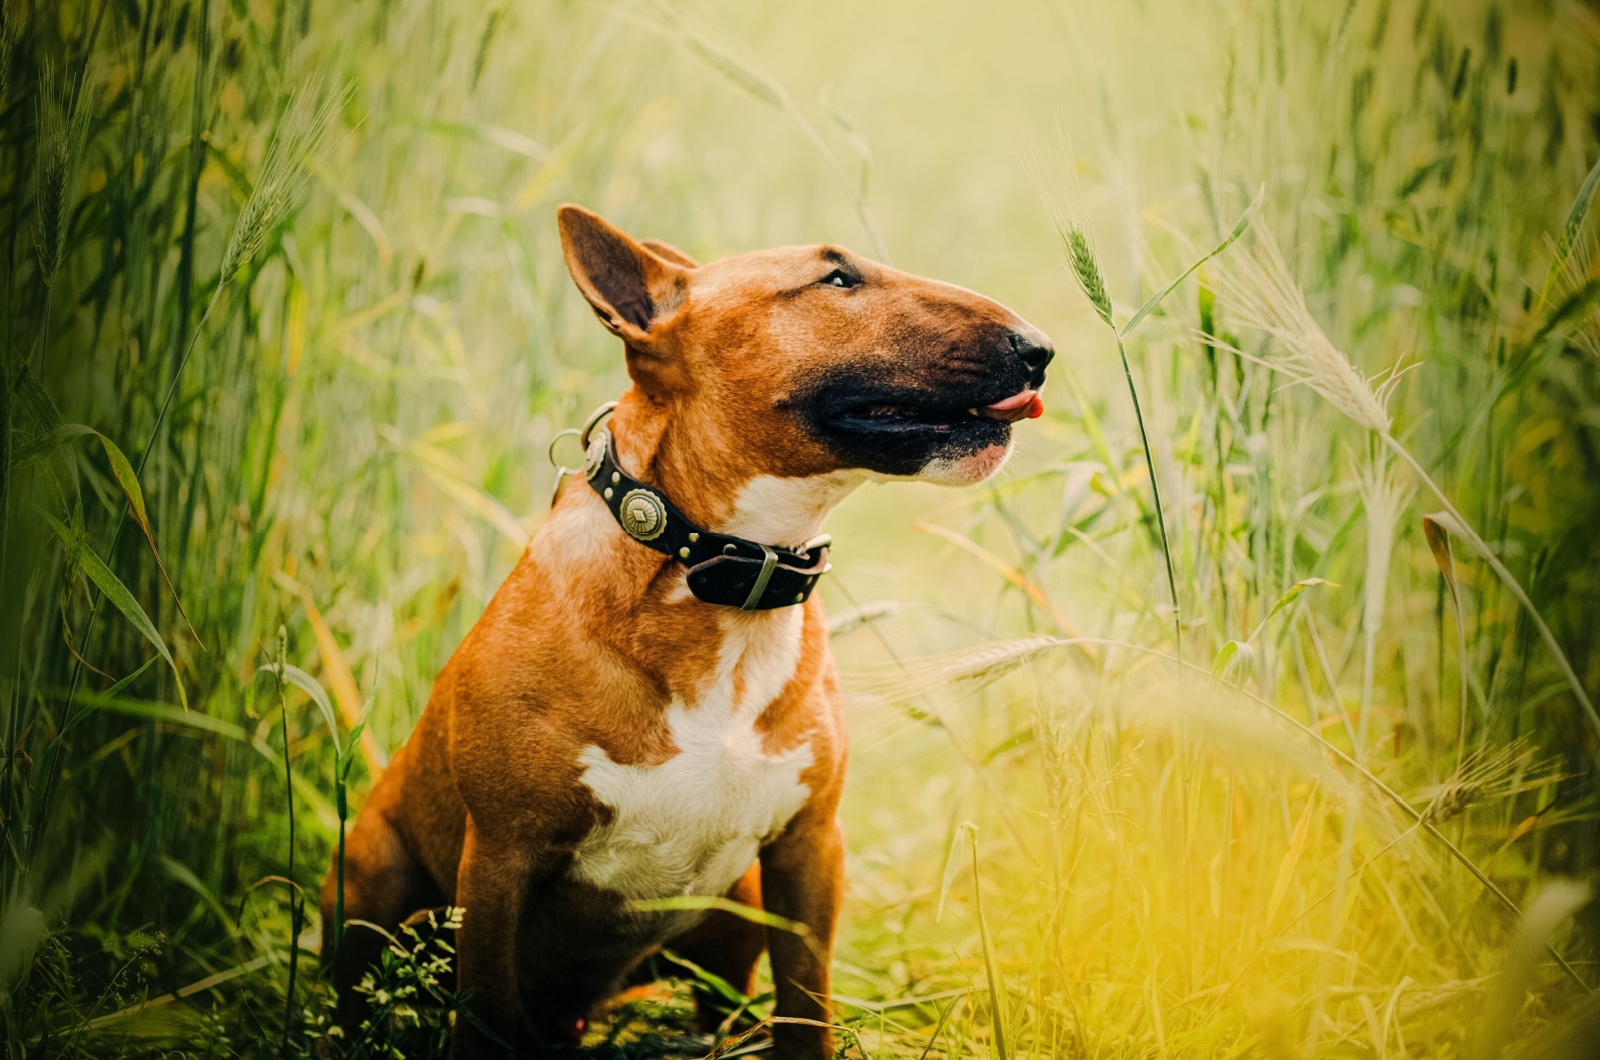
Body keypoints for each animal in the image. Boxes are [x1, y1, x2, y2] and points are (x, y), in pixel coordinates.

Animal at [320, 203, 1056, 1056]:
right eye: (837, 278)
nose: (1039, 349)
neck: (728, 583)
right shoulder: (499, 864)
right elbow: (489, 1016)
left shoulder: (810, 850)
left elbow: (806, 1006)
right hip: (368, 878)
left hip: (735, 914)